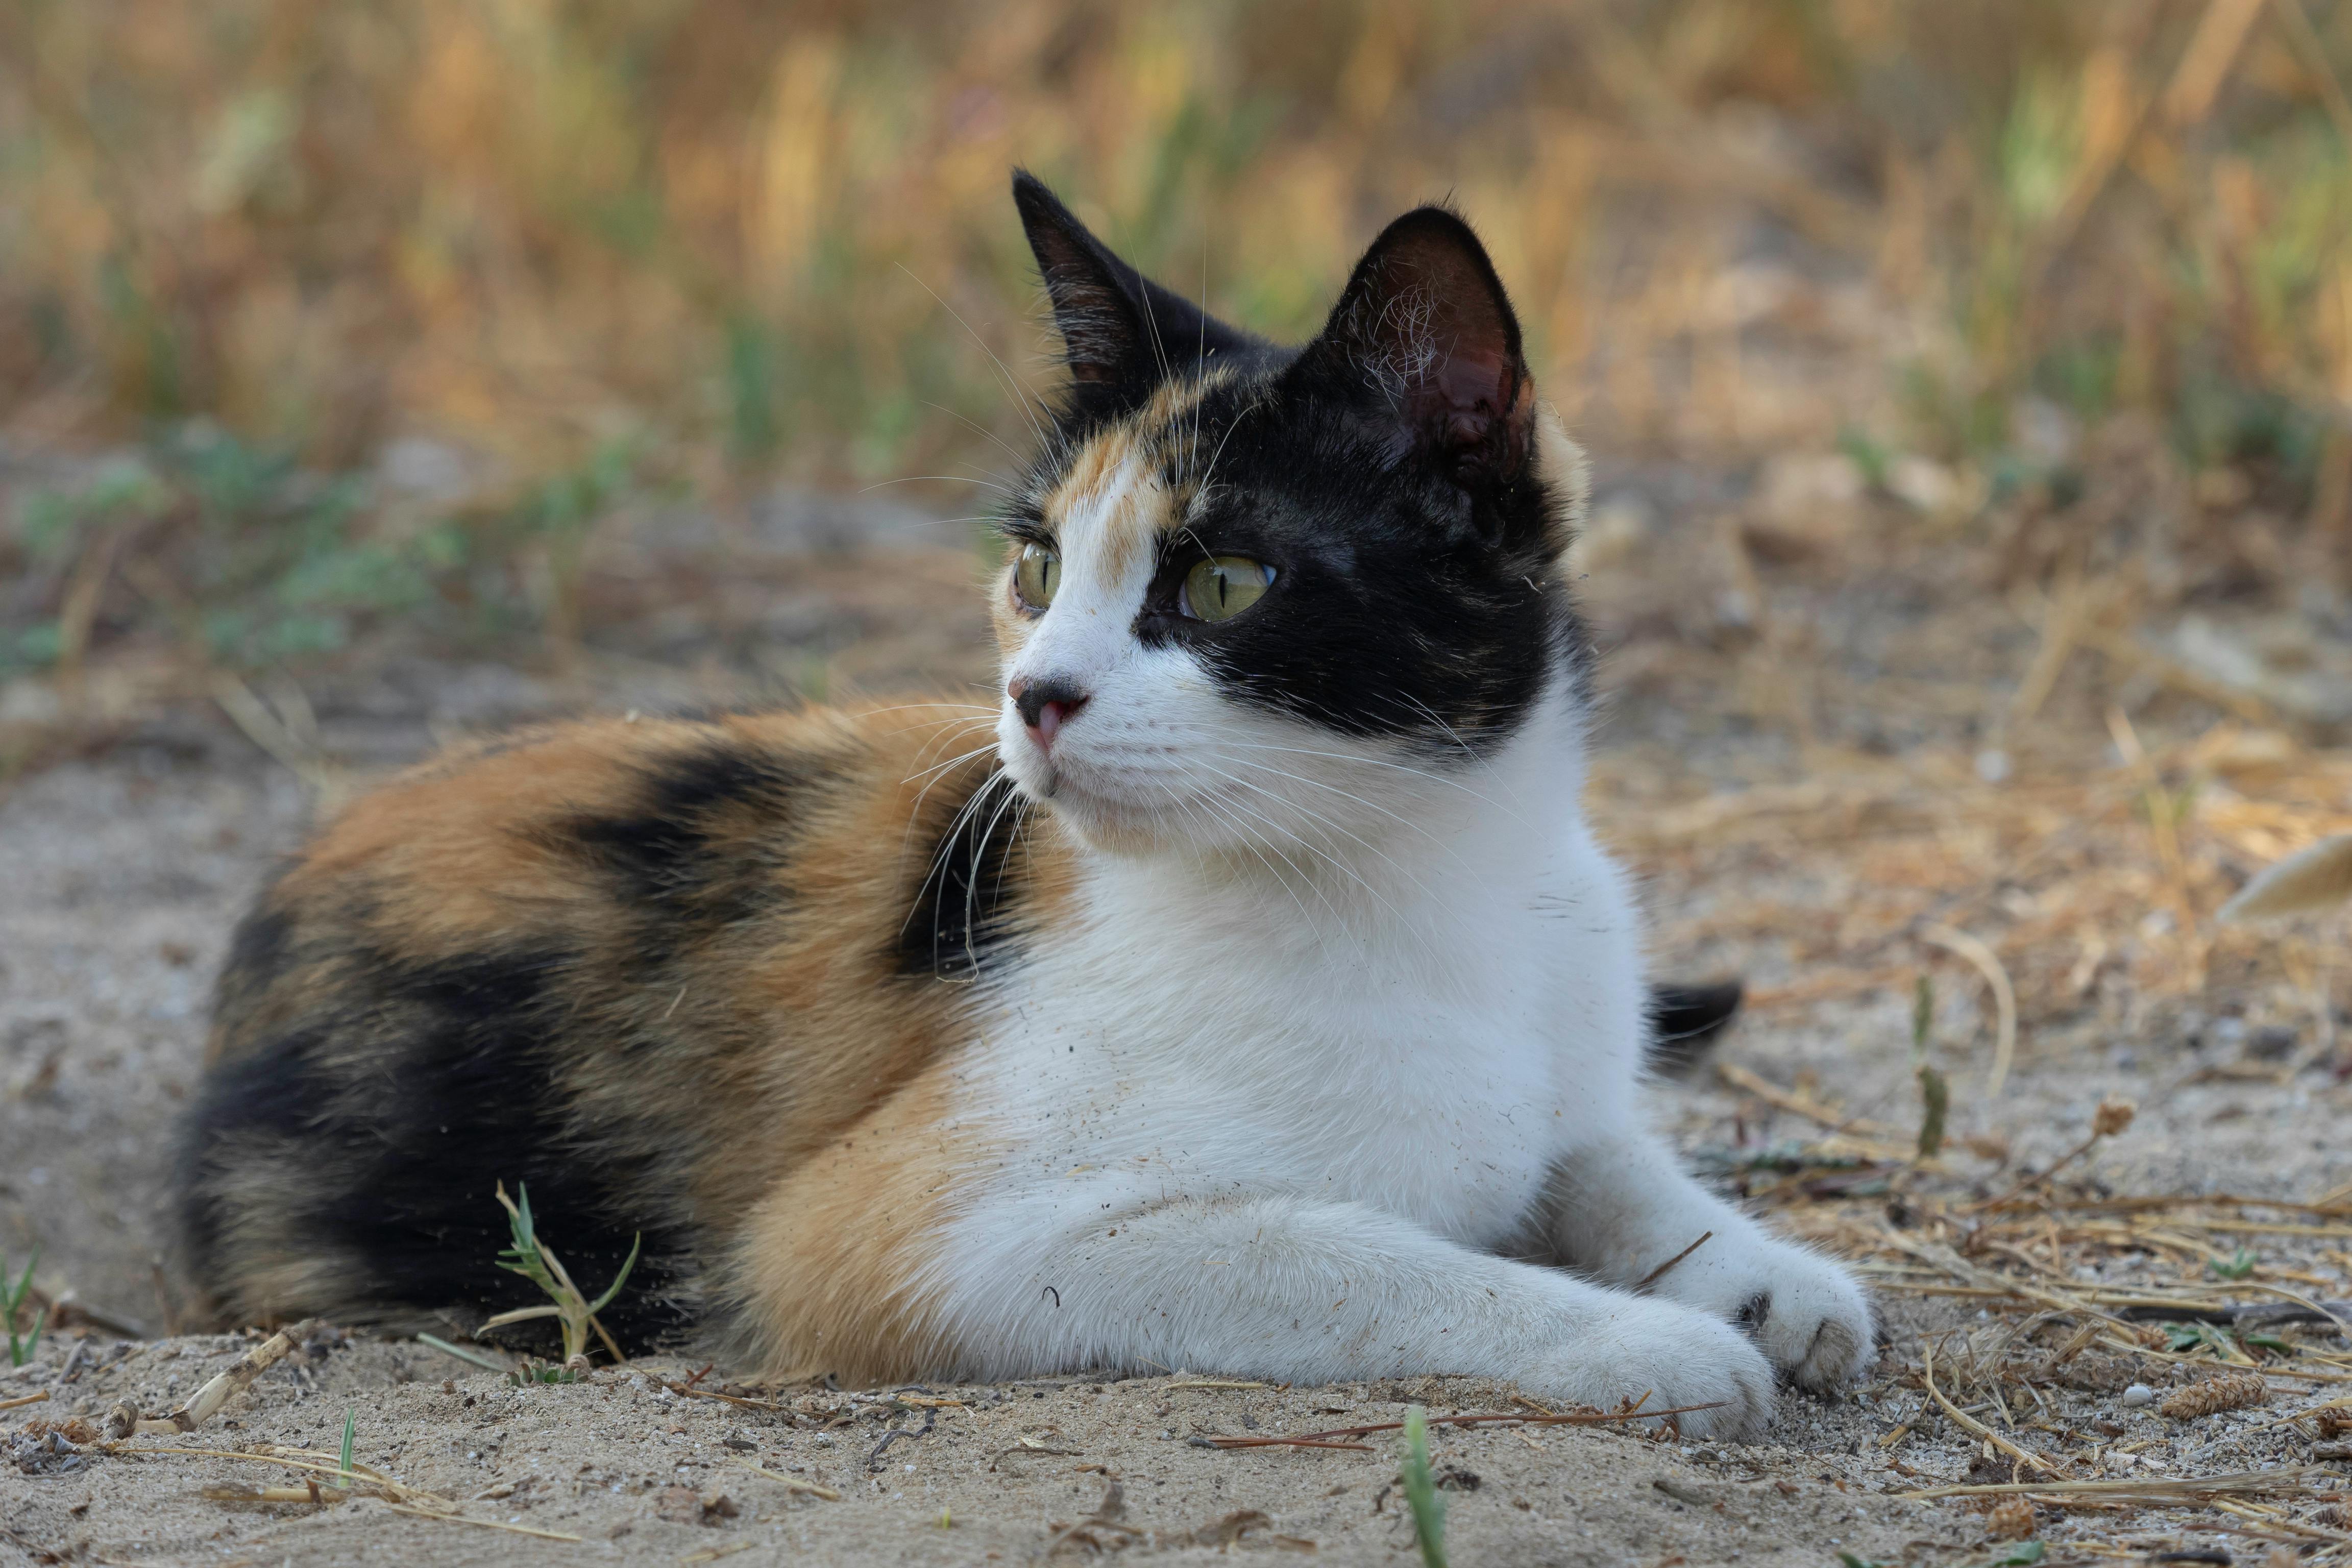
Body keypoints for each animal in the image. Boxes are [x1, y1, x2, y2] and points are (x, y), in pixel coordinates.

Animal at [179, 169, 1872, 1438]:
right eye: (1039, 564)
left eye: (1227, 580)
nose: (1035, 695)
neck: (1430, 886)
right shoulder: (897, 1243)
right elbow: (1347, 1248)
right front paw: (1643, 1342)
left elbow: (1602, 1149)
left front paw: (1766, 1276)